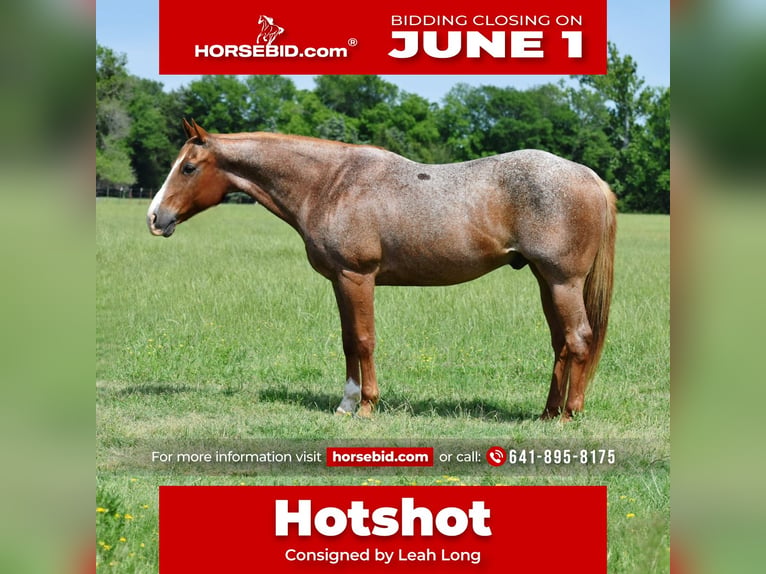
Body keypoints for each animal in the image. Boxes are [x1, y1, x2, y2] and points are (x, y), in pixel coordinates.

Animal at [147, 119, 616, 421]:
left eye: (188, 167)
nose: (155, 217)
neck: (331, 183)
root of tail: (590, 177)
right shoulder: (341, 281)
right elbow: (347, 342)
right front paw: (346, 404)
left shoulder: (357, 277)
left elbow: (363, 340)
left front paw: (365, 406)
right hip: (545, 280)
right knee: (561, 343)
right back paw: (547, 412)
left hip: (562, 281)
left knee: (578, 340)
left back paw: (568, 415)